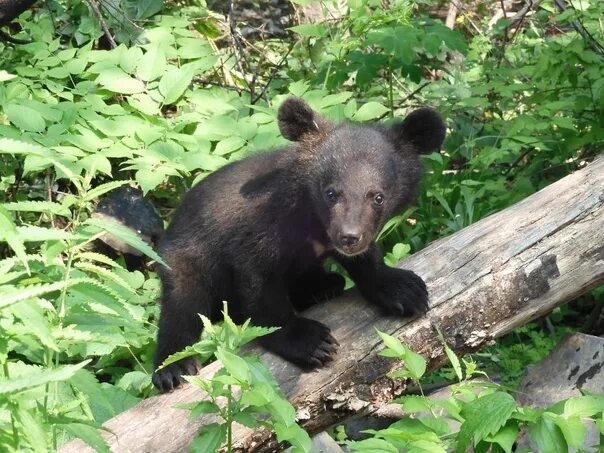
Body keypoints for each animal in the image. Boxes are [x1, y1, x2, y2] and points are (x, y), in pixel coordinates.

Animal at [152, 98, 444, 392]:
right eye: (331, 193)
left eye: (378, 197)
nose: (349, 237)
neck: (312, 222)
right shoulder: (262, 227)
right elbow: (258, 283)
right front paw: (312, 341)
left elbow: (368, 262)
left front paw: (406, 290)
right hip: (185, 258)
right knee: (182, 306)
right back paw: (172, 369)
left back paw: (324, 286)